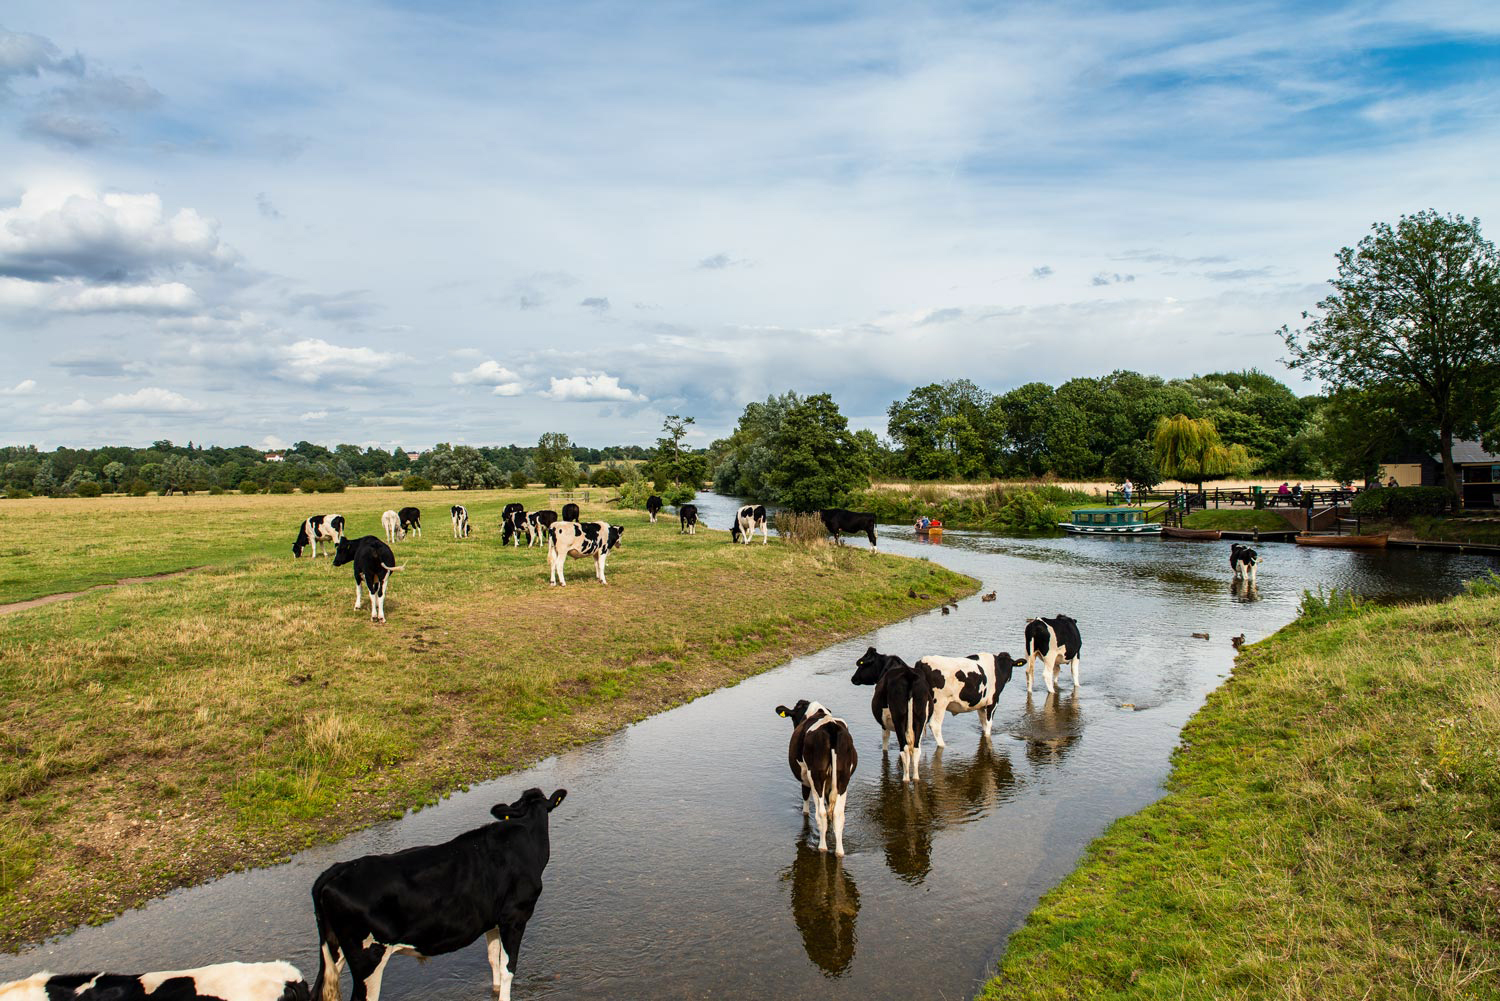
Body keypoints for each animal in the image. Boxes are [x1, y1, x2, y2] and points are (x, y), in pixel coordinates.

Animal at [309, 786, 564, 1001]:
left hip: (334, 951)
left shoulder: (492, 920)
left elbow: (493, 958)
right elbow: (508, 967)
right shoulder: (515, 917)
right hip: (369, 957)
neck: (524, 837)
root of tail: (338, 869)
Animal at [774, 702, 858, 858]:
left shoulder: (805, 778)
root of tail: (831, 726)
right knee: (838, 814)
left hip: (816, 776)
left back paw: (822, 847)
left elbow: (806, 803)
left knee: (821, 813)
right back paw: (839, 852)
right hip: (843, 777)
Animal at [852, 651, 930, 780]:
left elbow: (885, 741)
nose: (853, 678)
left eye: (861, 664)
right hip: (920, 717)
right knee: (915, 749)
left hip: (898, 719)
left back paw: (905, 779)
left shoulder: (884, 724)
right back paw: (915, 778)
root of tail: (909, 675)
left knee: (904, 749)